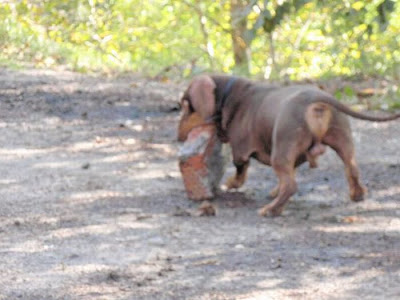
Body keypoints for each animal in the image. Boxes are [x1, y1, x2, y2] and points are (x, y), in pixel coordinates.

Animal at [178, 74, 400, 216]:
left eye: (186, 107)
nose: (178, 136)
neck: (230, 94)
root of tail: (317, 100)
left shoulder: (240, 150)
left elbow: (241, 170)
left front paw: (232, 183)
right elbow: (287, 173)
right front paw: (275, 190)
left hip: (281, 149)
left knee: (291, 186)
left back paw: (271, 210)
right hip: (343, 140)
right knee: (352, 169)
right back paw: (357, 194)